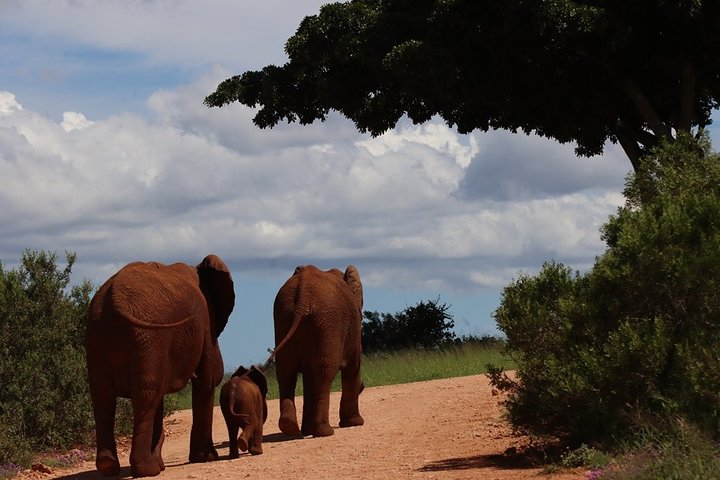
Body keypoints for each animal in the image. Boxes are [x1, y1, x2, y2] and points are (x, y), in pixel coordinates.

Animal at [85, 254, 235, 478]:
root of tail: (113, 297)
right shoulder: (205, 322)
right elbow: (206, 382)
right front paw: (206, 458)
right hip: (149, 337)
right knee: (146, 396)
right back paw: (148, 469)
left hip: (100, 336)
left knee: (103, 397)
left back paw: (109, 467)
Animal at [272, 264, 365, 438]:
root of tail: (302, 292)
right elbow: (353, 366)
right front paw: (354, 423)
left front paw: (308, 430)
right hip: (328, 321)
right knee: (325, 371)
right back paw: (324, 432)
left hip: (284, 316)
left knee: (285, 373)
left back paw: (291, 429)